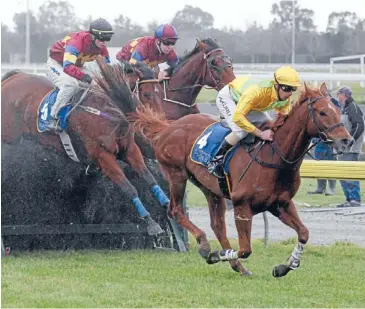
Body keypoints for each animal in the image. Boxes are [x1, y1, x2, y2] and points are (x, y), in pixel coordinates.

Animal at [1, 57, 169, 235]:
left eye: (161, 92)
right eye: (147, 94)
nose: (160, 125)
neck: (103, 108)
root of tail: (10, 79)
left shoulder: (130, 150)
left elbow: (149, 178)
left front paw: (167, 205)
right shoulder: (103, 158)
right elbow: (129, 187)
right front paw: (151, 222)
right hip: (7, 136)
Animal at [131, 82, 352, 276]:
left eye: (337, 109)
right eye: (322, 112)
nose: (347, 140)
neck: (274, 157)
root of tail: (167, 127)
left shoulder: (280, 204)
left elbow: (304, 233)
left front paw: (286, 266)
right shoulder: (242, 206)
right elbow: (246, 249)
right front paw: (217, 255)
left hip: (210, 188)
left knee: (217, 225)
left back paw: (237, 266)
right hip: (176, 174)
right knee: (175, 210)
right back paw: (205, 245)